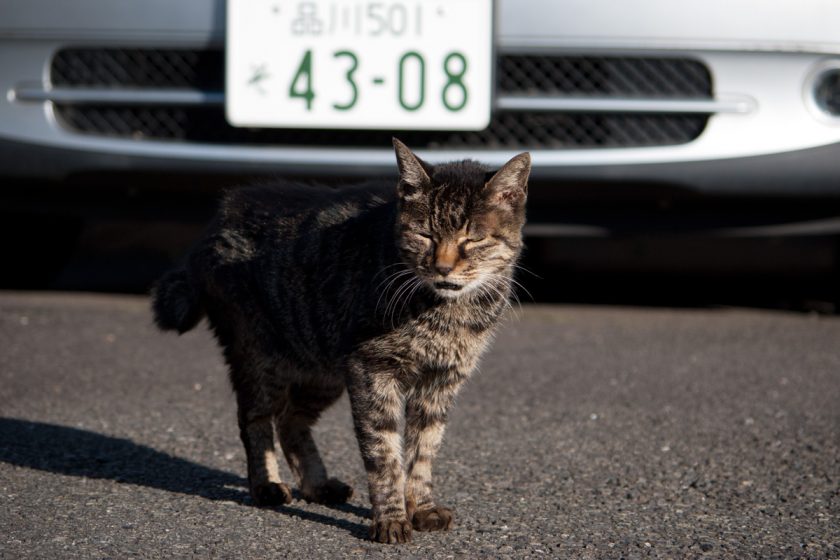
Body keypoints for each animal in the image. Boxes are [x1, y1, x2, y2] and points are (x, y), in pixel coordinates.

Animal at [150, 139, 528, 544]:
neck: (447, 313)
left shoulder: (441, 380)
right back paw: (267, 486)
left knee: (291, 420)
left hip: (322, 370)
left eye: (473, 239)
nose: (442, 268)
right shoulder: (372, 371)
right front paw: (391, 519)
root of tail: (222, 213)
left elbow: (423, 451)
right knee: (256, 420)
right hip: (259, 357)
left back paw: (318, 486)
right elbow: (384, 453)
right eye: (425, 235)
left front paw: (421, 508)